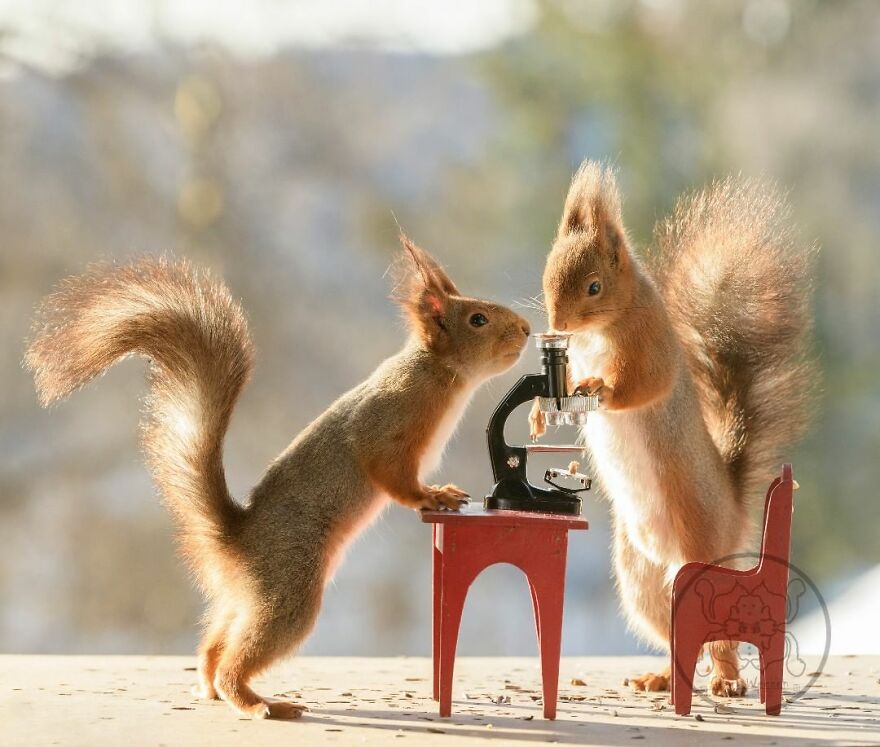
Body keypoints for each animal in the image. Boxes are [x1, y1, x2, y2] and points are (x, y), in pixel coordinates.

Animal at [25, 238, 530, 719]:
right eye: (478, 319)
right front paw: (434, 496)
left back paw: (210, 687)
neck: (437, 372)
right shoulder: (388, 422)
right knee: (240, 657)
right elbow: (391, 474)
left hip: (245, 599)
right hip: (289, 589)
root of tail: (234, 541)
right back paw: (258, 703)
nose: (526, 329)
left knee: (217, 642)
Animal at [530, 161, 816, 696]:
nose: (557, 323)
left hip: (701, 553)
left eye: (594, 286)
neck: (602, 327)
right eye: (548, 272)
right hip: (641, 580)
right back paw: (662, 677)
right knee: (679, 634)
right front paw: (539, 412)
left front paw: (598, 386)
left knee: (720, 639)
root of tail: (733, 513)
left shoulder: (650, 345)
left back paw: (727, 681)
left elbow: (642, 385)